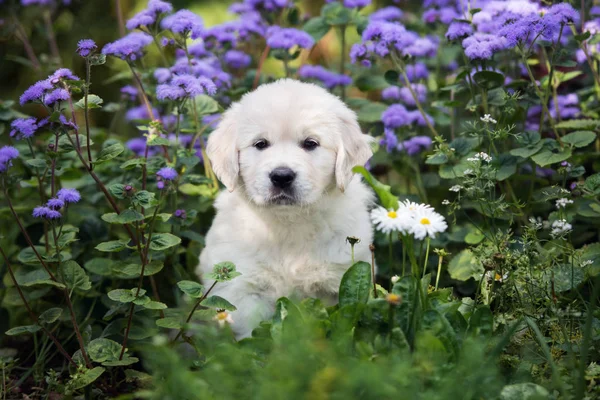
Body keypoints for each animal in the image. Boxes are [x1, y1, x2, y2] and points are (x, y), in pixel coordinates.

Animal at [197, 78, 376, 338]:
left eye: (310, 144)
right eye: (260, 144)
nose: (281, 176)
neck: (289, 222)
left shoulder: (337, 284)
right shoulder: (242, 291)